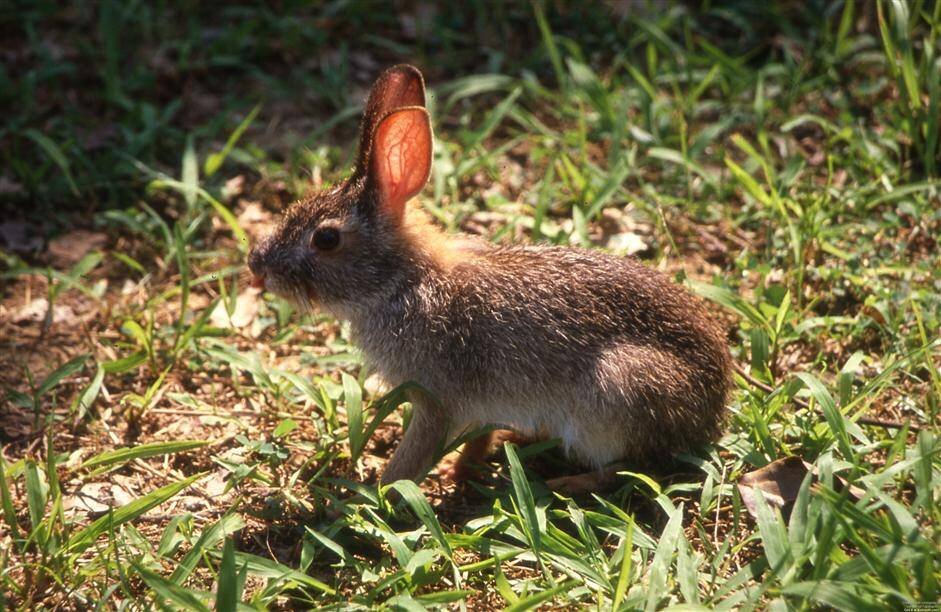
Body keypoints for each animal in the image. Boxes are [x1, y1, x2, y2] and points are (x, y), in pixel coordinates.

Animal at [250, 64, 736, 490]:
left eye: (326, 238)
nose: (257, 267)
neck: (404, 280)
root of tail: (710, 415)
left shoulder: (437, 398)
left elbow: (414, 454)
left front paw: (375, 497)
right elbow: (476, 437)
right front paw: (462, 470)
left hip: (619, 389)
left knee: (629, 468)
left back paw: (566, 481)